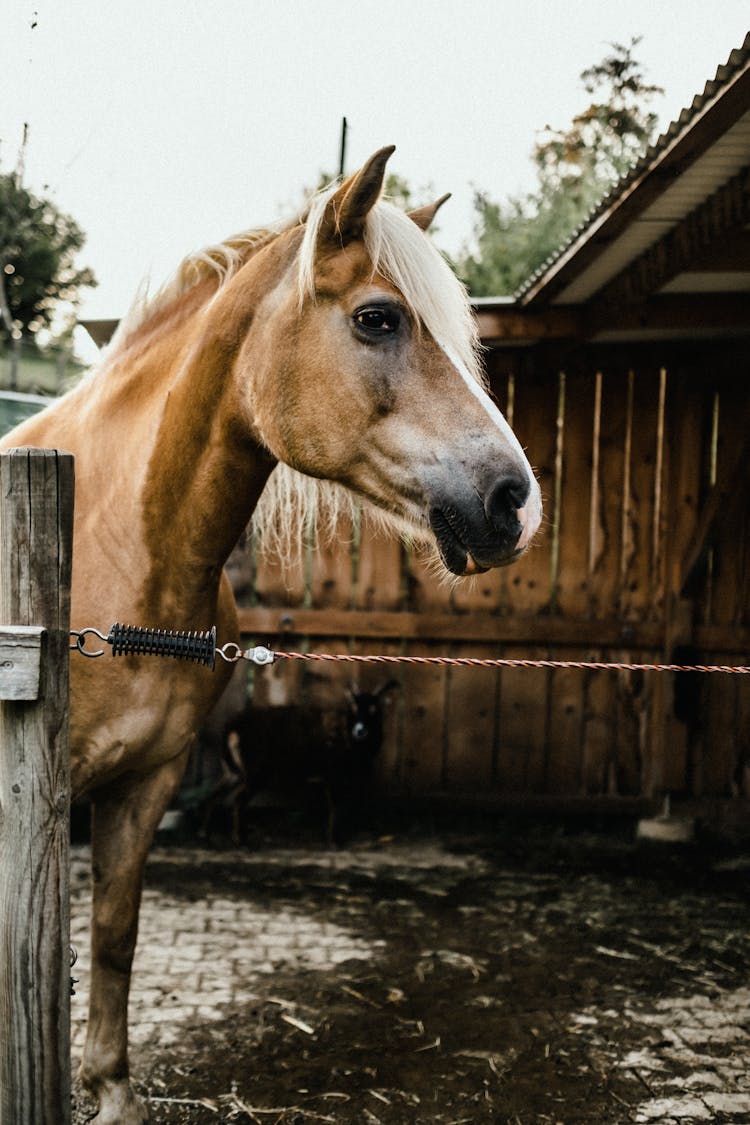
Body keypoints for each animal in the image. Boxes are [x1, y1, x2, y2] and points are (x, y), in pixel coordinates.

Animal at [0, 149, 539, 1125]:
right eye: (377, 317)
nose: (516, 502)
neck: (109, 547)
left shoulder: (143, 784)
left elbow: (114, 936)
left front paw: (111, 1091)